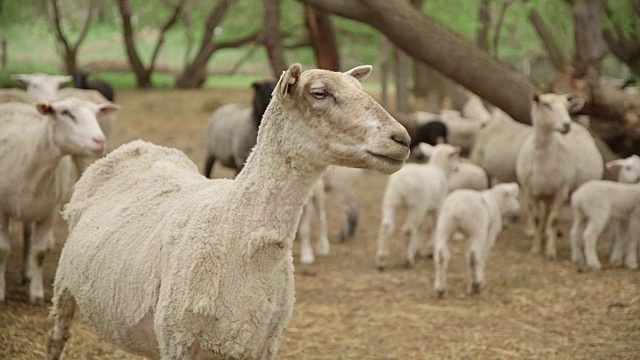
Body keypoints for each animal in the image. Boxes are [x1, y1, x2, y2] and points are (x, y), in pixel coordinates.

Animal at [0, 98, 115, 304]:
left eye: (96, 114)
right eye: (65, 113)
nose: (99, 141)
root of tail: (14, 103)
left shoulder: (48, 213)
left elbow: (38, 253)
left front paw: (36, 293)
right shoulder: (2, 212)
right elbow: (3, 250)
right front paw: (0, 292)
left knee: (27, 235)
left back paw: (27, 273)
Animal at [47, 64, 412, 360]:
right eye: (320, 93)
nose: (403, 139)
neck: (235, 228)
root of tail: (138, 145)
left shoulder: (260, 343)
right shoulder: (178, 338)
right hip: (64, 286)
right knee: (55, 338)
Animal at [516, 93, 604, 260]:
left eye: (567, 107)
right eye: (546, 105)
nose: (566, 125)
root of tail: (578, 125)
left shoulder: (561, 190)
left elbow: (554, 220)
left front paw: (551, 252)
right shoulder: (530, 191)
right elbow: (537, 218)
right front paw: (535, 248)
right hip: (545, 193)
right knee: (545, 215)